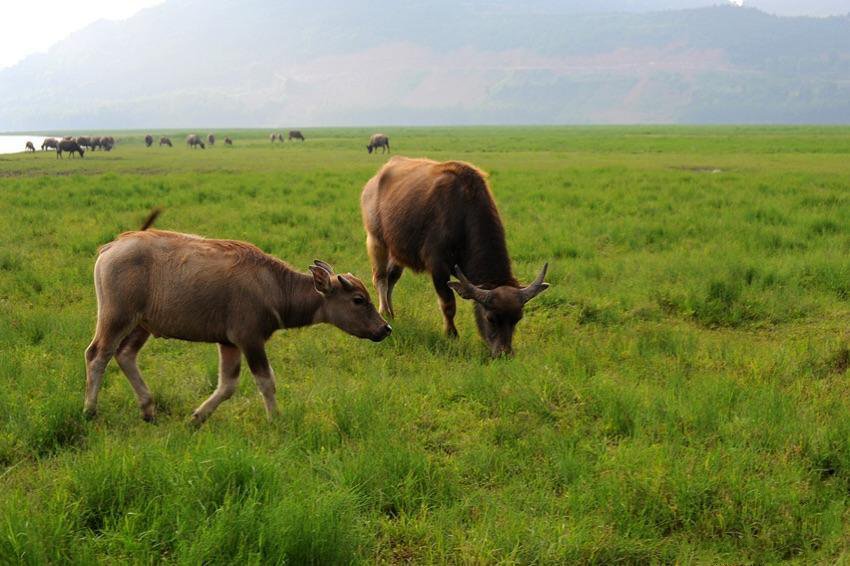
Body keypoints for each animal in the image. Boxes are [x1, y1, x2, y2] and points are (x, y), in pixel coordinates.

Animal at [83, 211, 390, 424]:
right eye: (358, 300)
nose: (385, 328)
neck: (274, 286)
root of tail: (111, 248)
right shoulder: (249, 340)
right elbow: (266, 381)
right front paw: (275, 419)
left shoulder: (229, 343)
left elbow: (228, 385)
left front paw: (198, 417)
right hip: (117, 317)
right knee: (98, 355)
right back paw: (89, 410)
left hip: (141, 324)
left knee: (125, 355)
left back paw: (148, 409)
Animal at [360, 158, 548, 358]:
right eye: (490, 318)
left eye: (517, 318)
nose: (504, 353)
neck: (462, 212)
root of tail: (375, 179)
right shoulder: (438, 266)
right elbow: (448, 304)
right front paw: (451, 334)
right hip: (376, 240)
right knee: (380, 278)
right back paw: (384, 312)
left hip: (398, 250)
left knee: (391, 279)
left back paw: (391, 313)